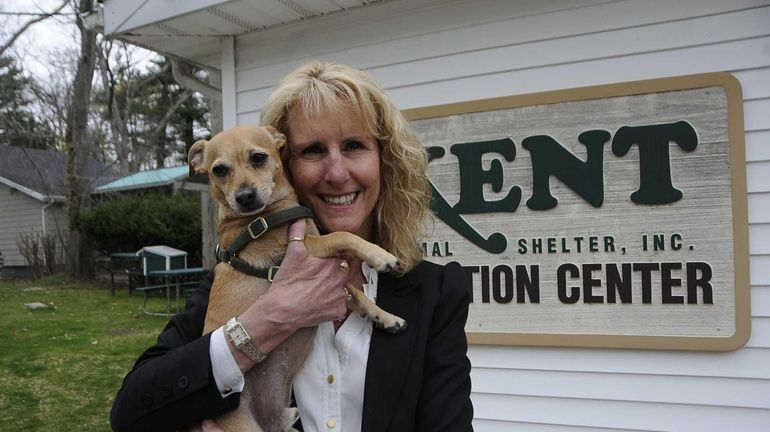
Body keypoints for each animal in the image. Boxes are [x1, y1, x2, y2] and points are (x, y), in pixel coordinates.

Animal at [187, 125, 404, 432]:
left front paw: (384, 316)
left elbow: (355, 291)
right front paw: (380, 255)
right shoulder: (305, 248)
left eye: (258, 157)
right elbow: (342, 236)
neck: (263, 217)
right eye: (219, 170)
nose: (245, 196)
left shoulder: (331, 275)